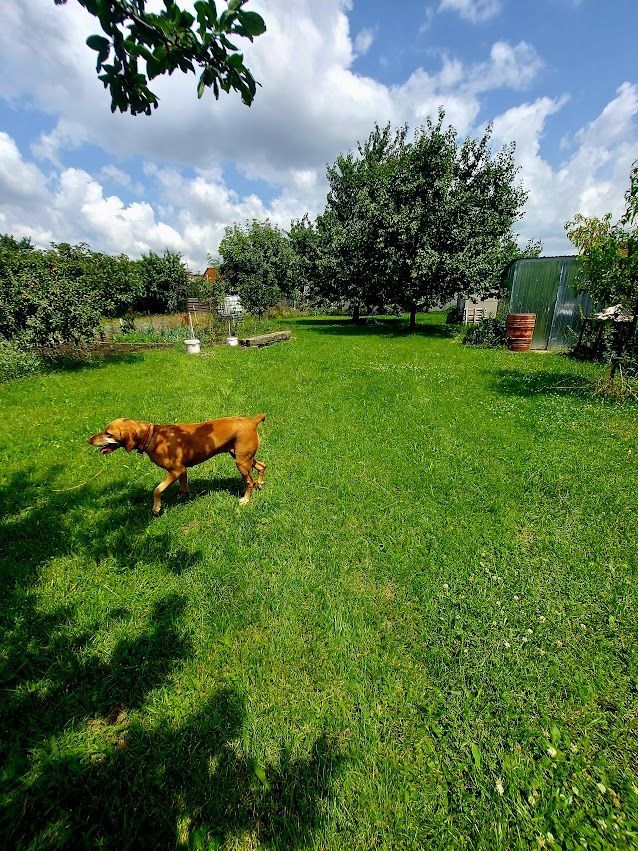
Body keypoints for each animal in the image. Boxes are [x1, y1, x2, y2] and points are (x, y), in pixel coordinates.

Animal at [88, 416, 268, 516]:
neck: (151, 436)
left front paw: (156, 508)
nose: (89, 440)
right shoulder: (183, 471)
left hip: (241, 462)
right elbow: (183, 488)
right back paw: (260, 483)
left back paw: (245, 499)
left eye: (108, 433)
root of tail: (252, 420)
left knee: (249, 482)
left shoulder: (176, 470)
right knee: (262, 465)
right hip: (241, 457)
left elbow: (157, 489)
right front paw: (183, 500)